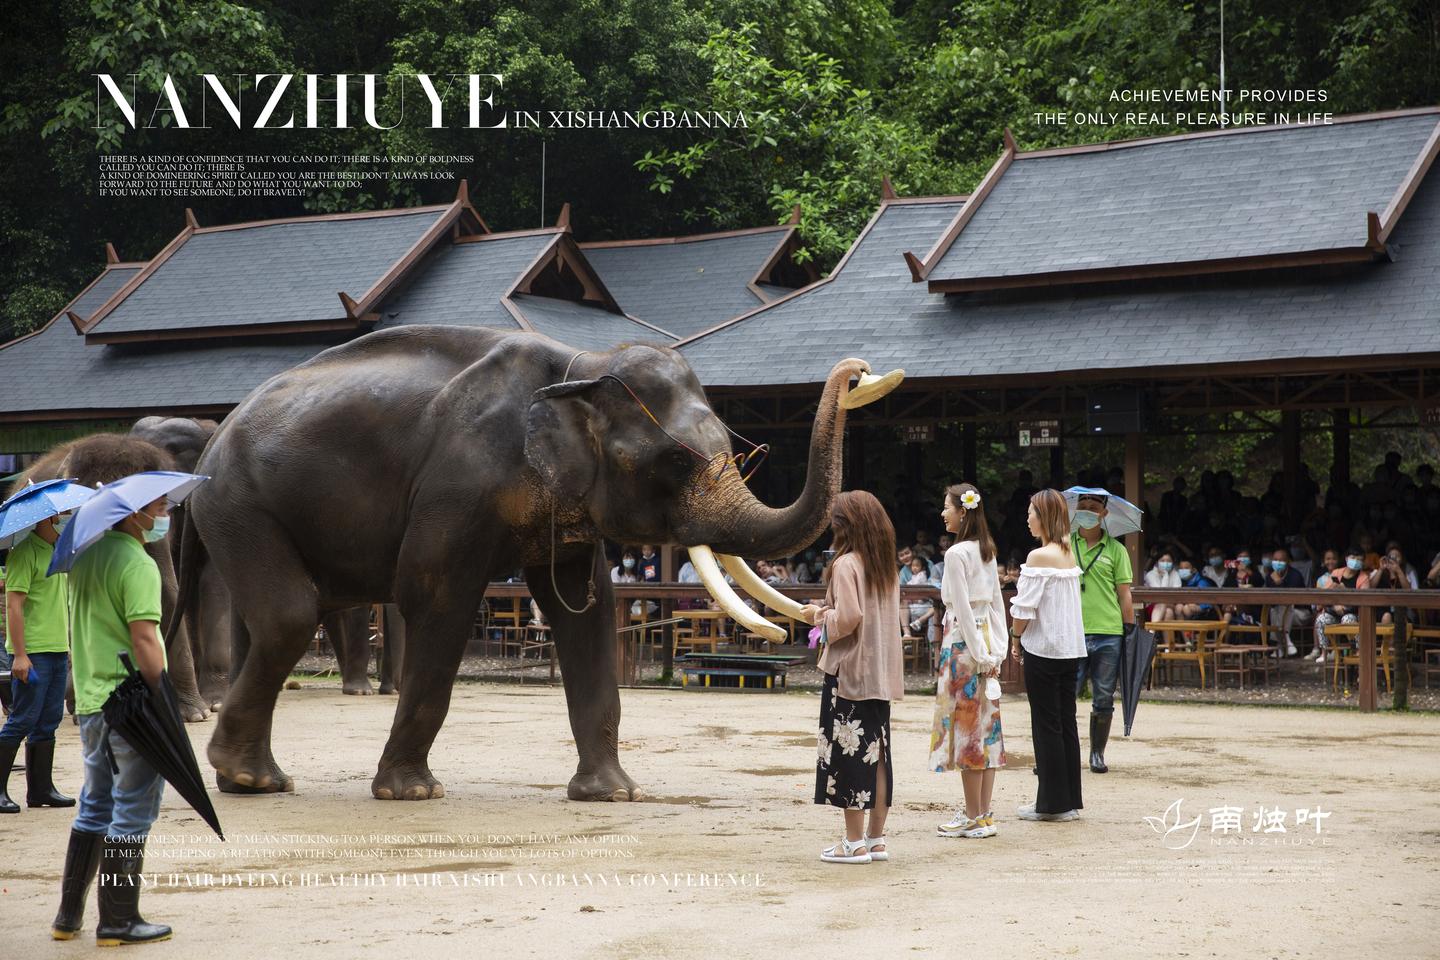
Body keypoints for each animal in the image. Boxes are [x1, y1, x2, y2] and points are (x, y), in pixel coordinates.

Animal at [180, 326, 875, 805]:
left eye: (735, 451)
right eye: (675, 462)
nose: (859, 369)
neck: (582, 364)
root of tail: (216, 436)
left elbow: (585, 613)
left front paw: (613, 795)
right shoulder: (457, 484)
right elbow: (436, 597)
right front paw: (412, 793)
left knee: (276, 620)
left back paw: (251, 778)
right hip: (239, 502)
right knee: (290, 615)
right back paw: (243, 775)